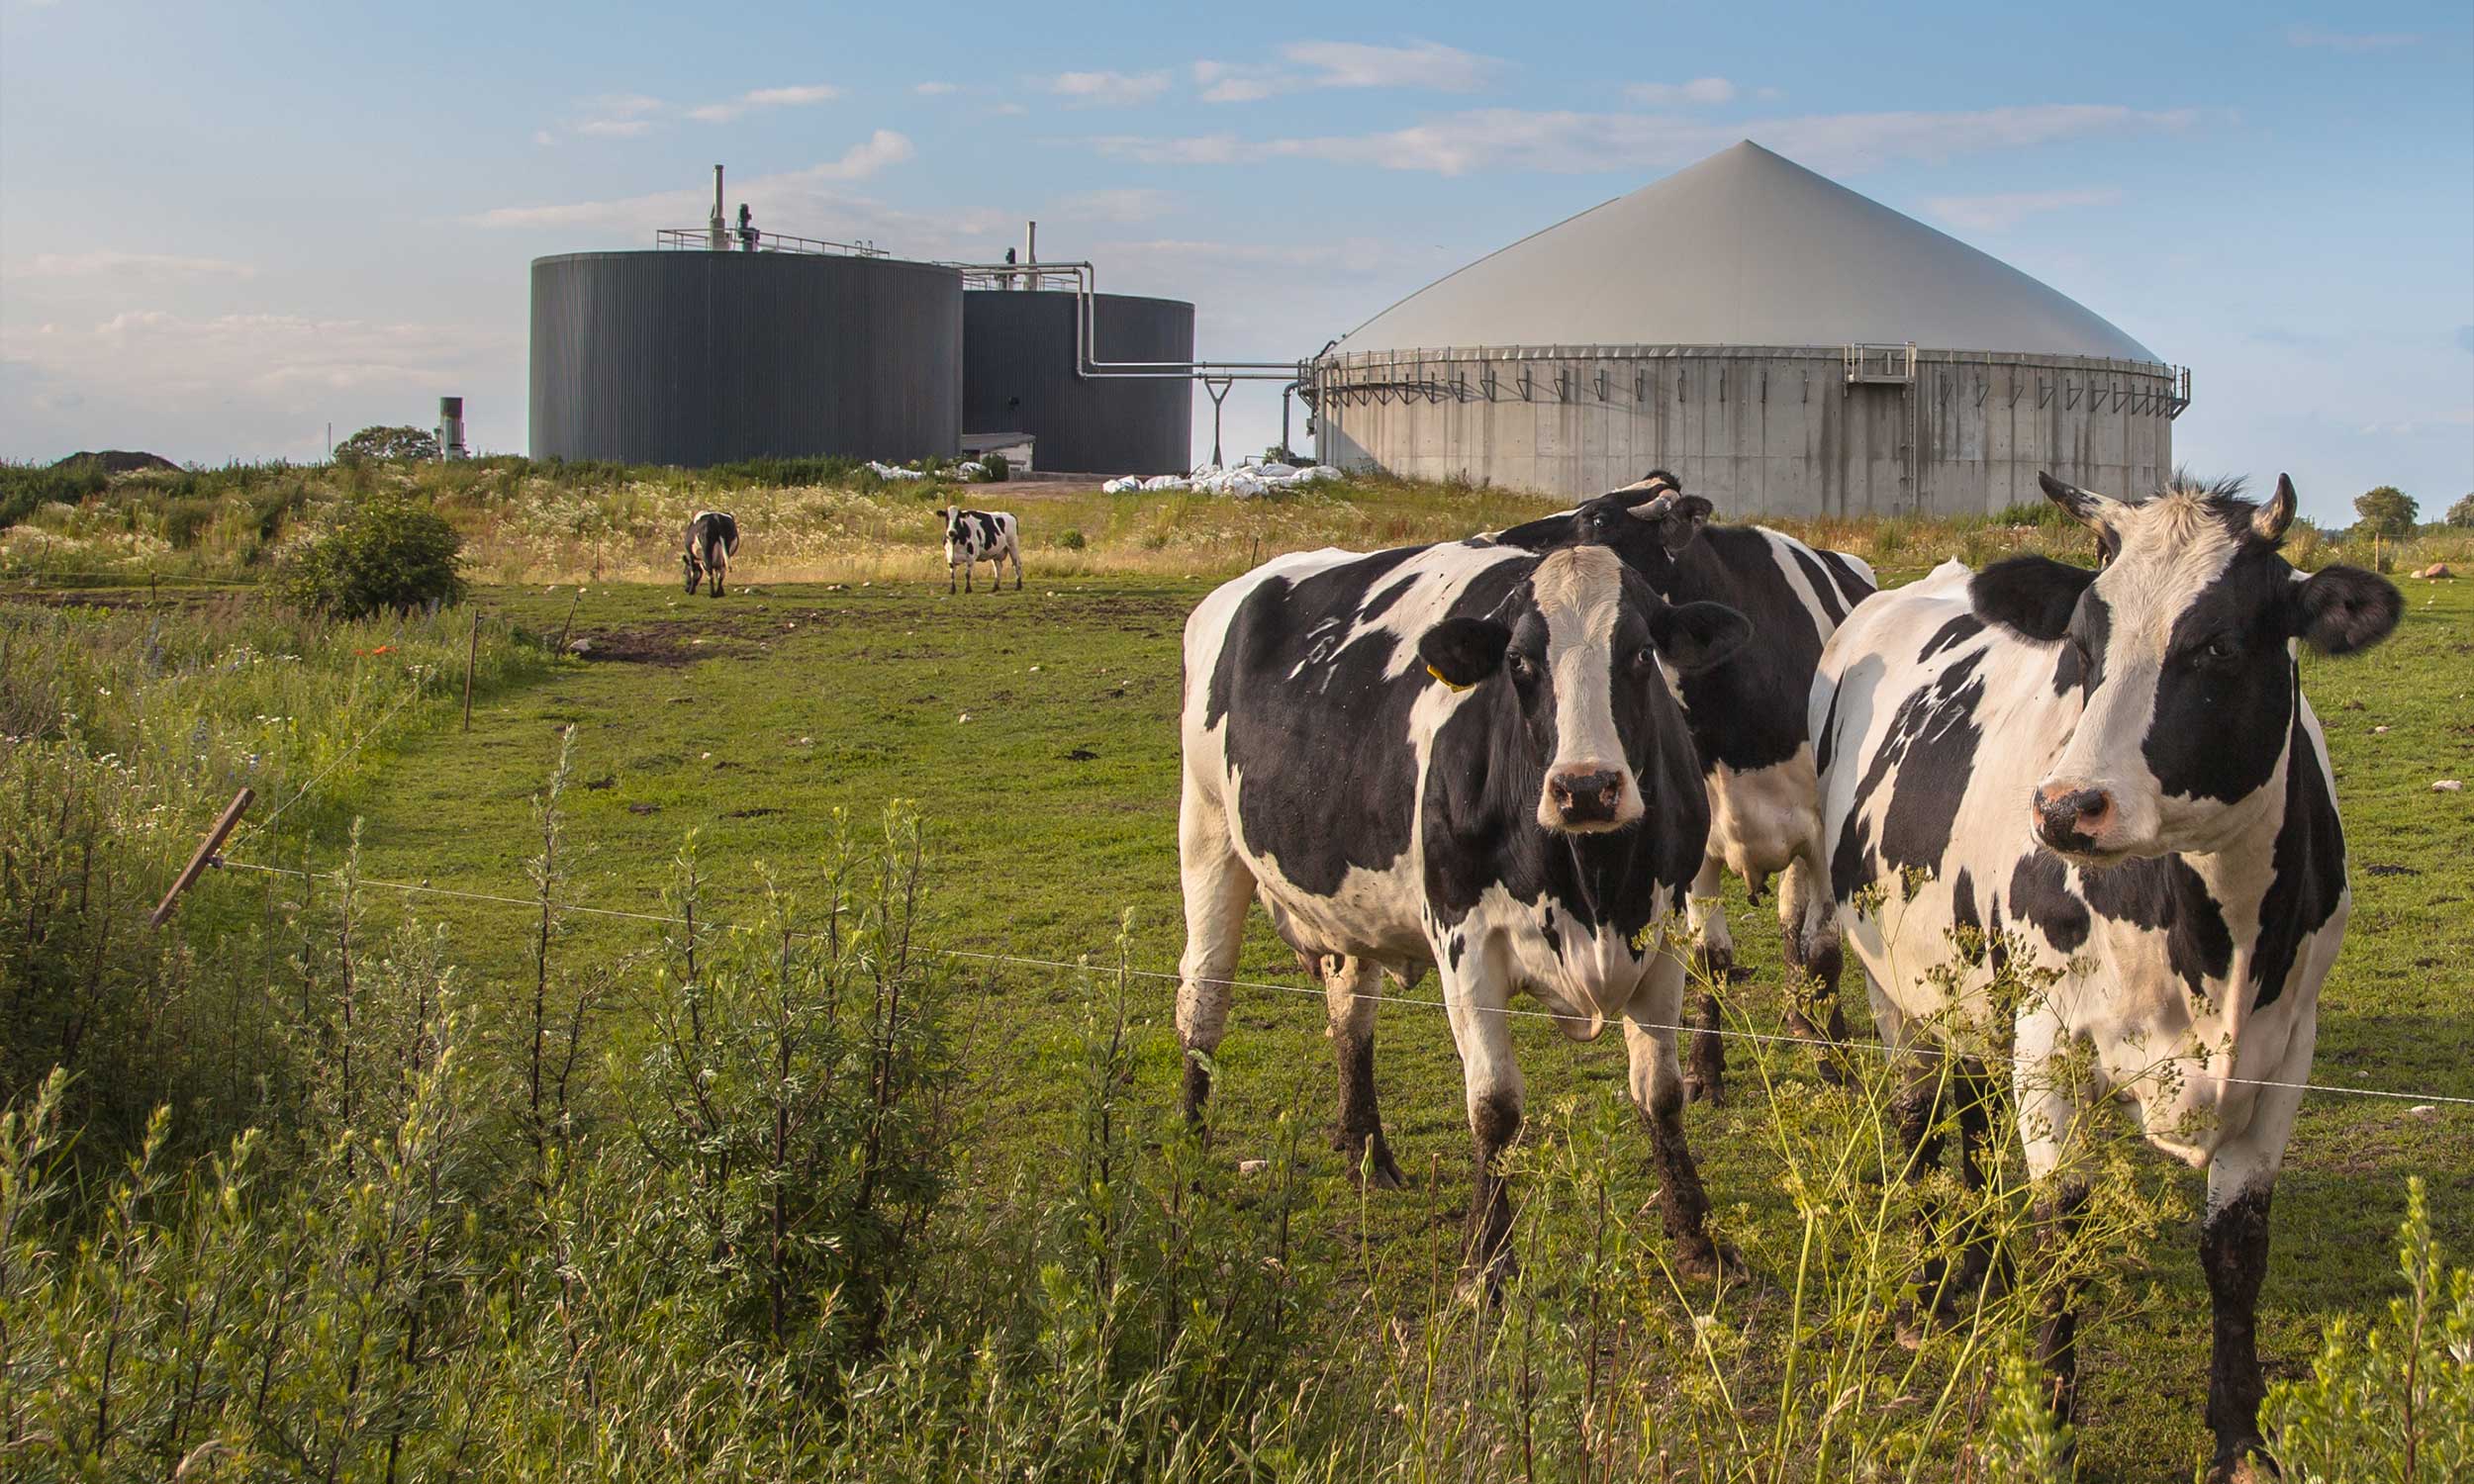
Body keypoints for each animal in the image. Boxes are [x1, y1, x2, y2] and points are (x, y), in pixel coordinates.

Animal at [1183, 539, 1752, 1276]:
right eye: (1518, 661)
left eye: (1638, 653)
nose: (1586, 789)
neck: (1592, 887)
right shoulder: (1466, 942)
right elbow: (1494, 1106)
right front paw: (1485, 1260)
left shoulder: (1662, 936)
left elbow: (1661, 1094)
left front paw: (1699, 1238)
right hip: (1207, 834)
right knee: (1202, 1000)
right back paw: (1190, 1160)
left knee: (1350, 1015)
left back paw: (1367, 1152)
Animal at [1811, 472, 2405, 1474]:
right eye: (2082, 646)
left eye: (2217, 645)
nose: (2065, 807)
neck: (2212, 945)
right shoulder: (2050, 1045)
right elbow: (2065, 1234)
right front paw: (2048, 1432)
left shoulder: (2286, 1054)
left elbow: (2237, 1251)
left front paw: (2240, 1438)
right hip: (1894, 984)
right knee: (1921, 1119)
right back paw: (1933, 1289)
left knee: (1971, 1110)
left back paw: (1983, 1265)